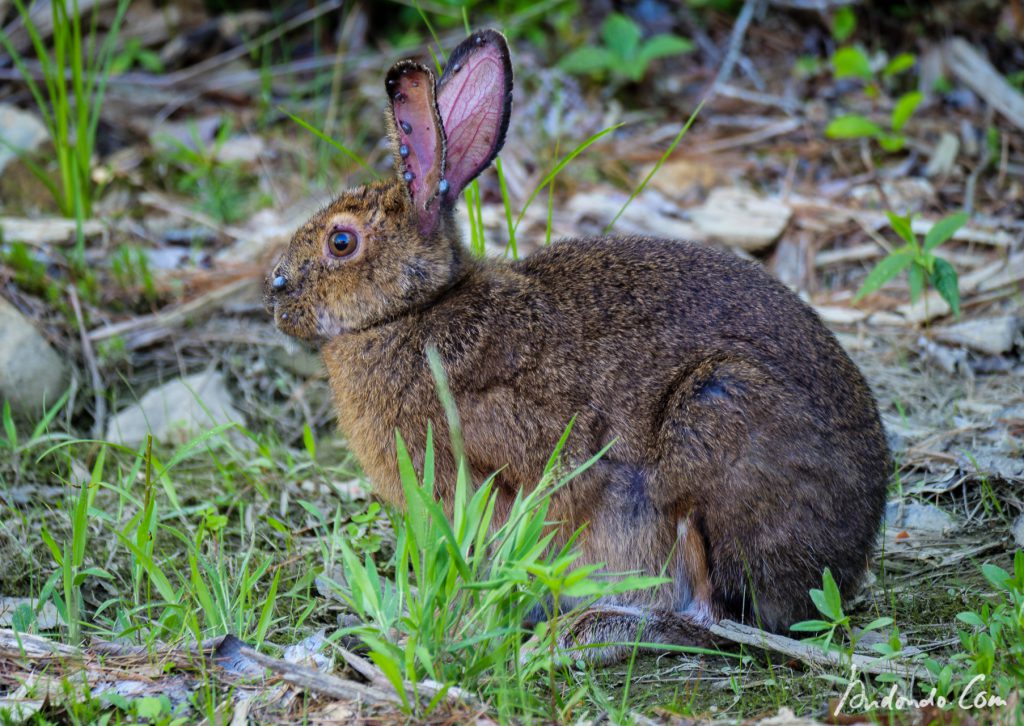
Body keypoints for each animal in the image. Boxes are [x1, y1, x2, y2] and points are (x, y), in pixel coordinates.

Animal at [268, 28, 892, 663]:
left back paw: (579, 634)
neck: (415, 310)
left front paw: (460, 628)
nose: (276, 290)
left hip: (712, 427)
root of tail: (851, 550)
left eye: (341, 242)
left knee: (712, 617)